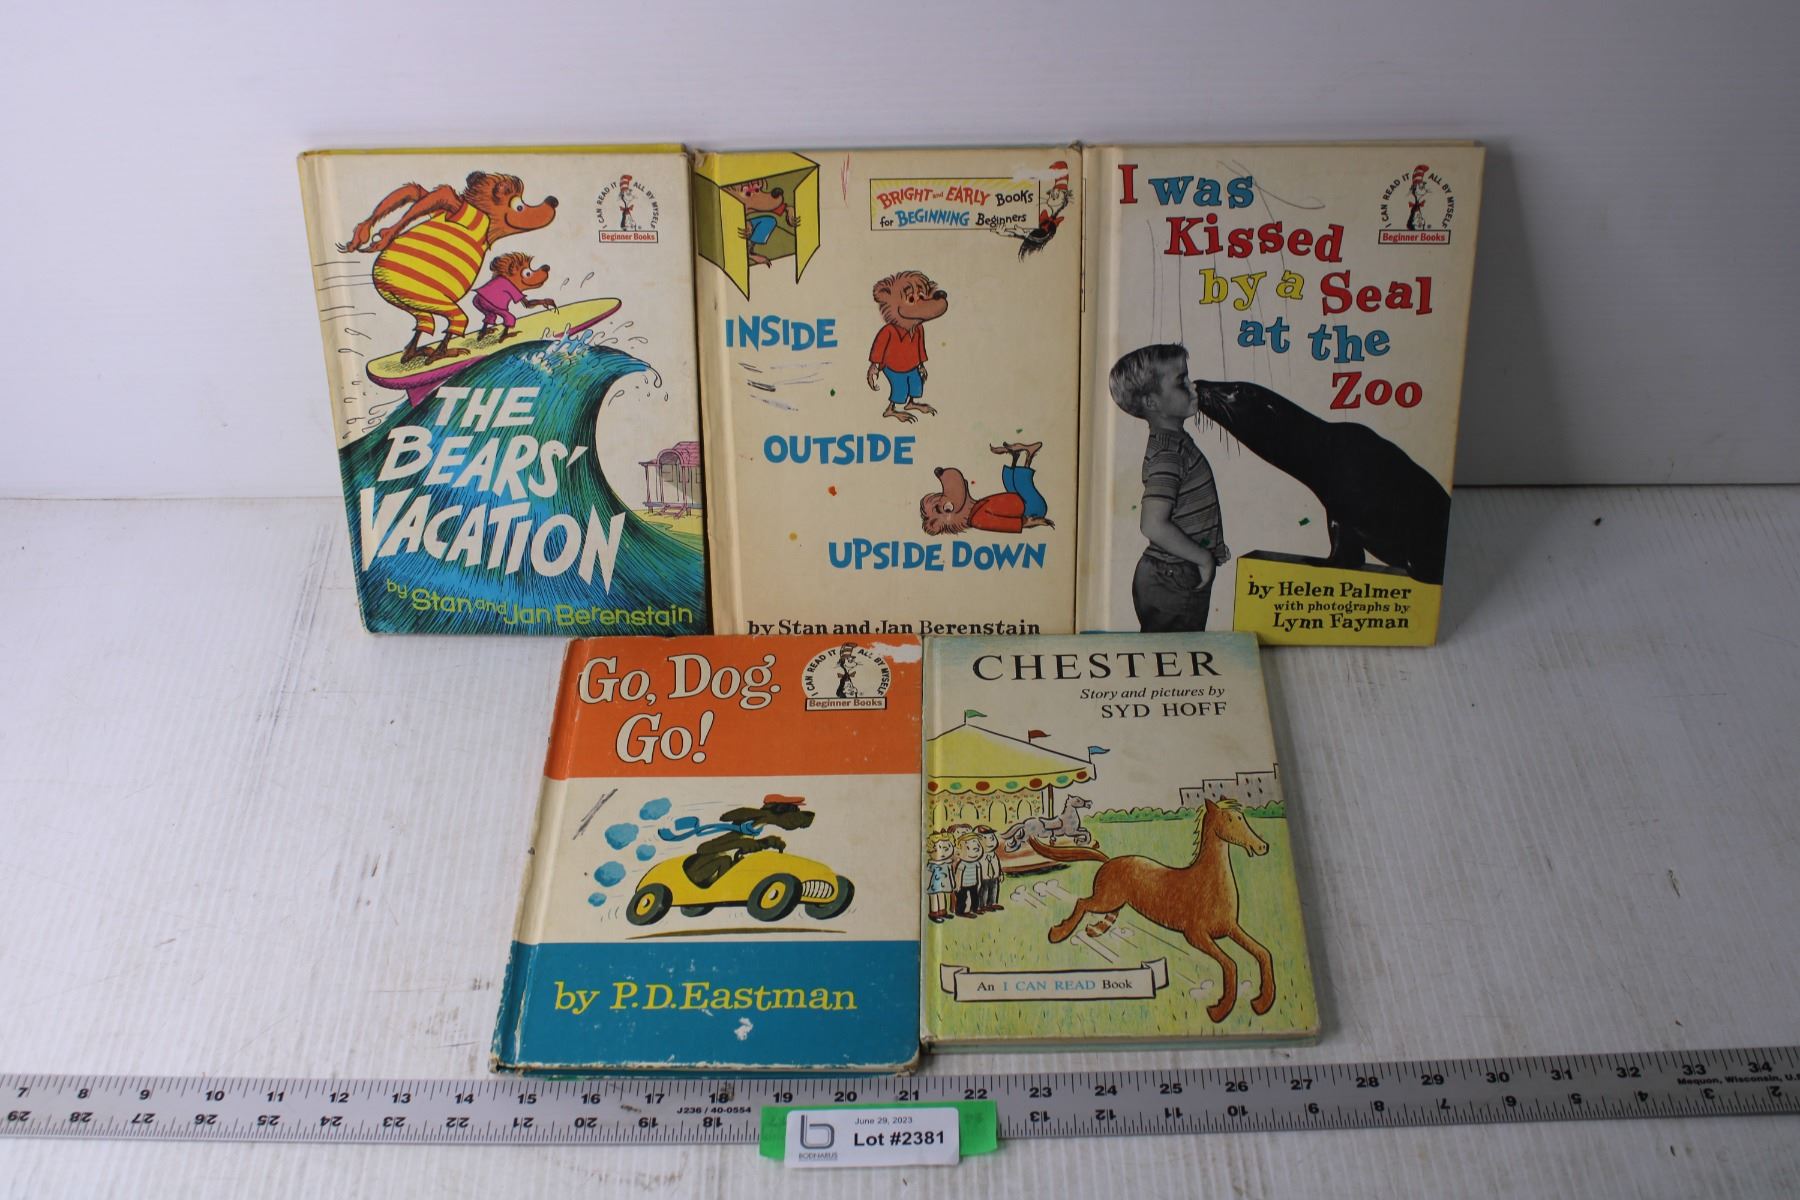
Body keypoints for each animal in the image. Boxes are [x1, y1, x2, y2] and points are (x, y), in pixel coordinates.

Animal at [1031, 798, 1275, 1024]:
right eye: (1230, 820)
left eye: (1243, 817)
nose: (1263, 847)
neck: (1207, 884)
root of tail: (1109, 861)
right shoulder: (1195, 935)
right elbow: (1230, 964)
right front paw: (1220, 1010)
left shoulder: (1231, 928)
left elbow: (1262, 952)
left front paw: (1262, 1002)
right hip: (1106, 900)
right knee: (1082, 902)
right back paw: (1058, 934)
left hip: (1114, 901)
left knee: (1104, 913)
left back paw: (1095, 930)